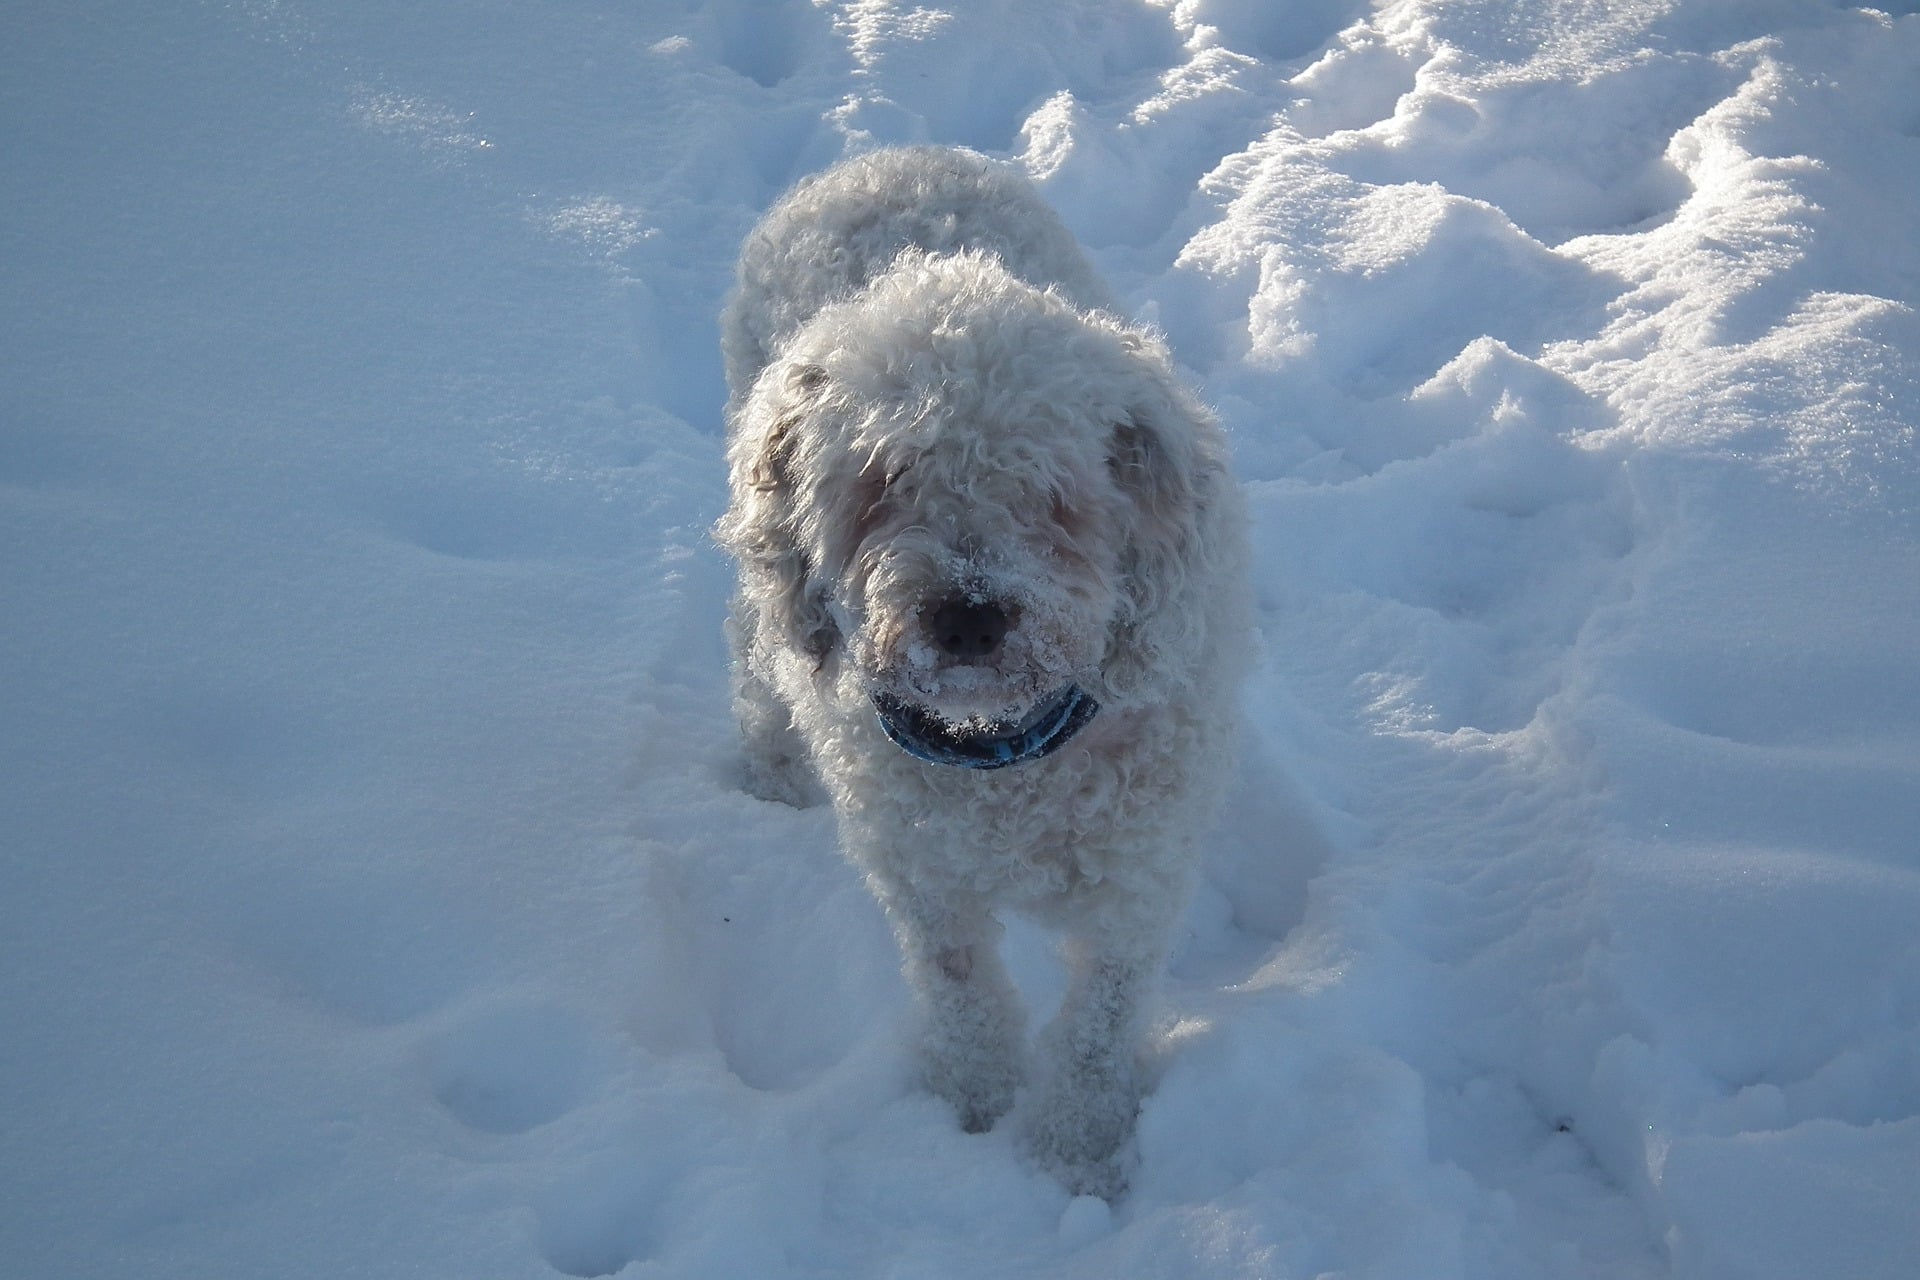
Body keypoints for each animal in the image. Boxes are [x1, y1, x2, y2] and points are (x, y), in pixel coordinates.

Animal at [718, 147, 1244, 1205]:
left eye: (1055, 494)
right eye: (881, 481)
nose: (966, 614)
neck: (1001, 757)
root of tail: (884, 158)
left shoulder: (1139, 882)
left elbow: (1097, 1029)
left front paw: (1076, 1156)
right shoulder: (924, 881)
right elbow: (960, 992)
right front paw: (976, 1111)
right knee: (756, 647)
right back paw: (769, 768)